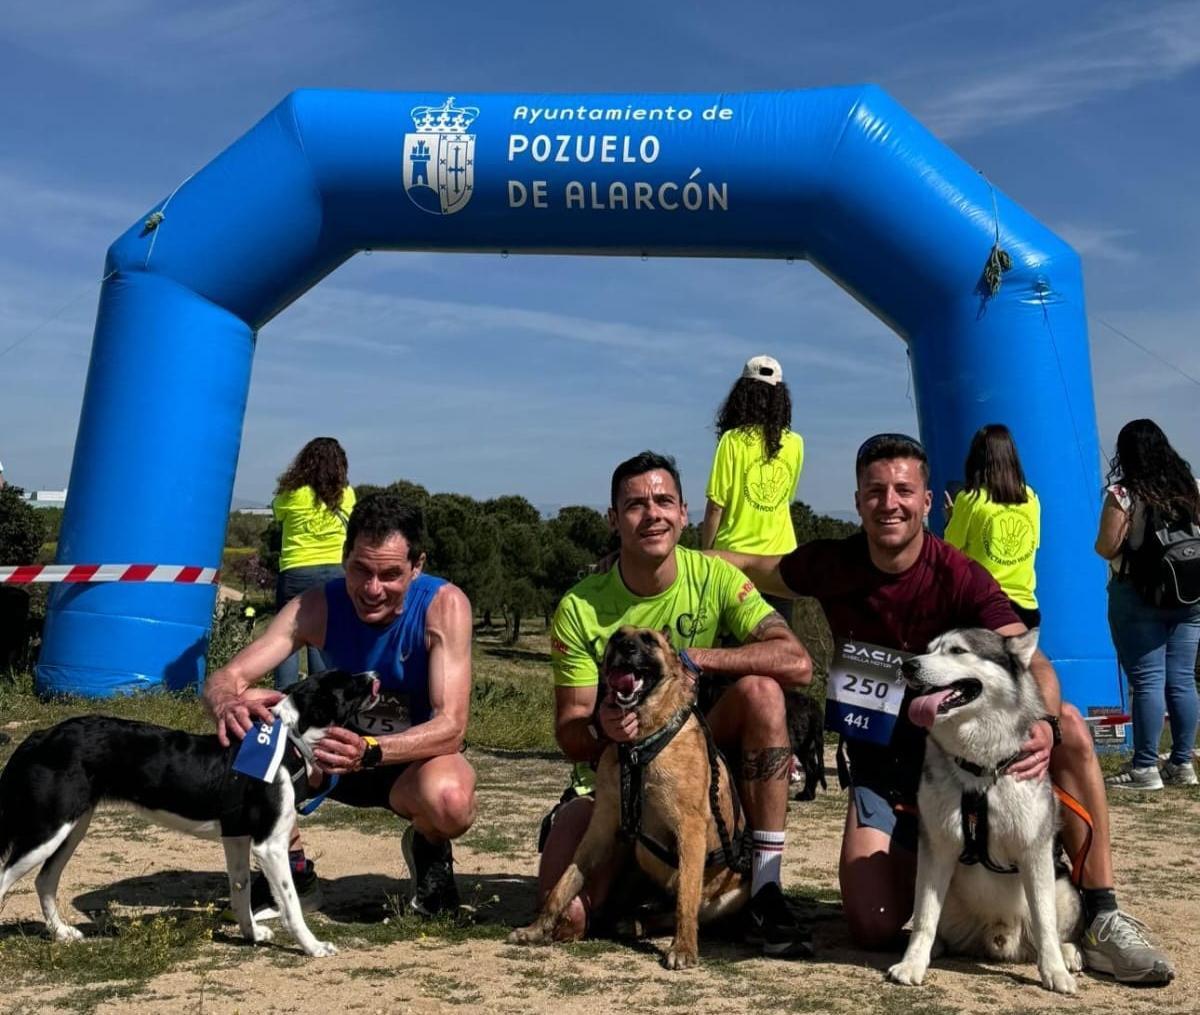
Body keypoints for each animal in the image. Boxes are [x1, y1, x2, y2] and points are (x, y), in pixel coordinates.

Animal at [0, 671, 379, 959]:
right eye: (348, 682)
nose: (374, 676)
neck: (287, 743)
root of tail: (41, 735)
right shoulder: (270, 845)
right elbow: (291, 904)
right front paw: (313, 947)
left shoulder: (238, 839)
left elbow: (240, 891)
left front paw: (251, 934)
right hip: (49, 829)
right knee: (9, 879)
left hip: (71, 828)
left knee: (45, 881)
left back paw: (62, 933)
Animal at [508, 628, 748, 969]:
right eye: (617, 637)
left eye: (648, 640)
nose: (626, 646)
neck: (639, 744)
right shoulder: (600, 829)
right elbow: (564, 883)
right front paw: (537, 928)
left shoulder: (690, 830)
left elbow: (686, 900)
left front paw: (683, 947)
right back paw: (630, 922)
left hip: (732, 894)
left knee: (680, 907)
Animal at [888, 633, 1084, 998]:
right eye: (929, 648)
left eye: (957, 650)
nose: (908, 665)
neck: (981, 772)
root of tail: (999, 936)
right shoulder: (936, 849)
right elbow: (924, 918)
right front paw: (912, 963)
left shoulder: (1035, 852)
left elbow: (1045, 921)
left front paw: (1054, 971)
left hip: (1064, 888)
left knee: (1049, 930)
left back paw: (1066, 954)